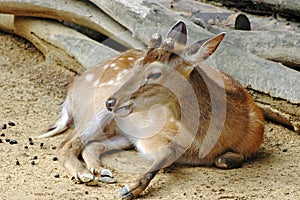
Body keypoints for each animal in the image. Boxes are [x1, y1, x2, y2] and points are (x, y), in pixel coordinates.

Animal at [36, 21, 264, 199]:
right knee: (65, 145)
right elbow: (168, 152)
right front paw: (129, 189)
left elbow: (225, 159)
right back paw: (84, 175)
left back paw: (101, 171)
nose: (111, 102)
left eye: (155, 74)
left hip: (120, 132)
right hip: (95, 112)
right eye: (137, 65)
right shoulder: (154, 136)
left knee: (91, 145)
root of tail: (71, 91)